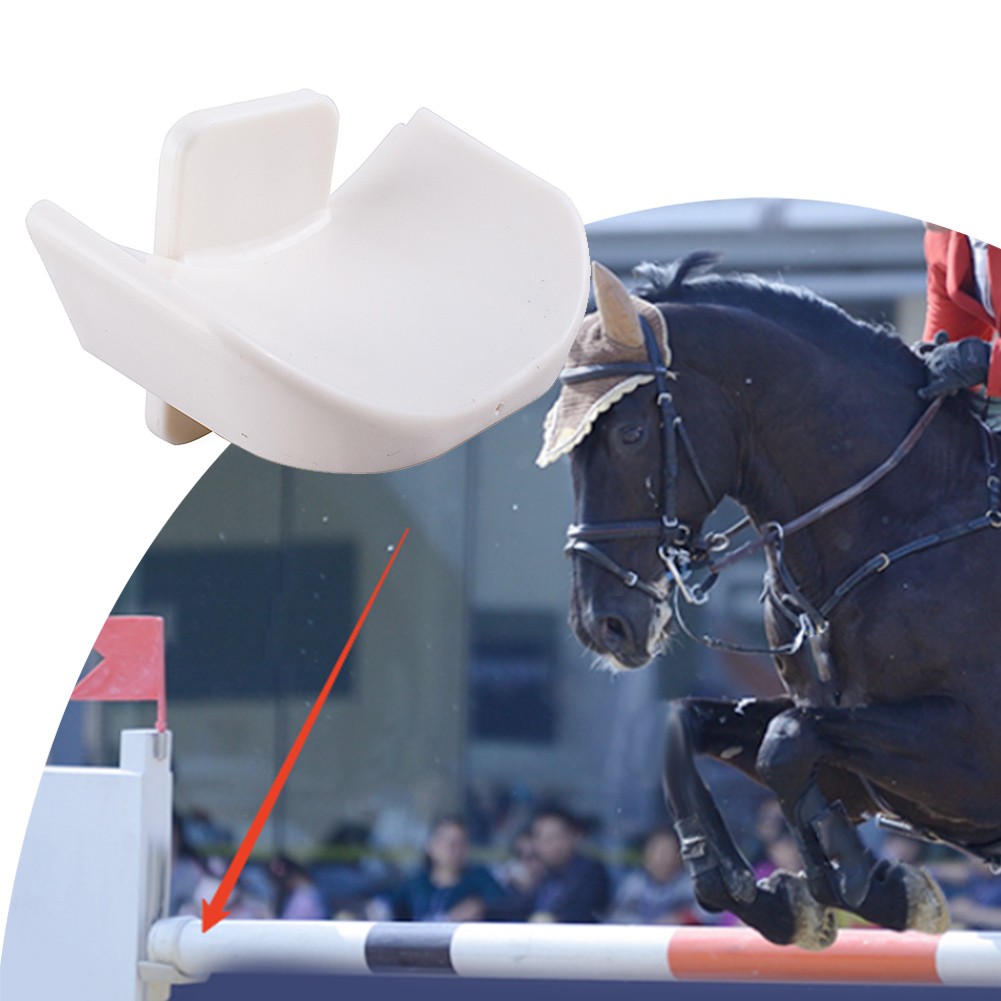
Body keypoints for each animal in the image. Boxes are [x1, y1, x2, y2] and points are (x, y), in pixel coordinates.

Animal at [538, 254, 1001, 949]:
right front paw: (775, 897)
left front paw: (867, 882)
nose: (602, 624)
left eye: (631, 433)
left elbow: (785, 743)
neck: (901, 515)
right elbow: (699, 728)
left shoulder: (972, 755)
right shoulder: (851, 755)